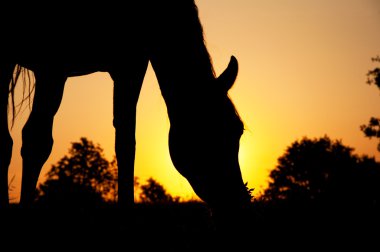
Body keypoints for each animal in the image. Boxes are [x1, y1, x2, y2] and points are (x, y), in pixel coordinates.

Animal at [0, 0, 252, 228]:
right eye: (206, 133)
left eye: (238, 130)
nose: (238, 208)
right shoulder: (52, 66)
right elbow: (37, 143)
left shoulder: (131, 65)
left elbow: (126, 144)